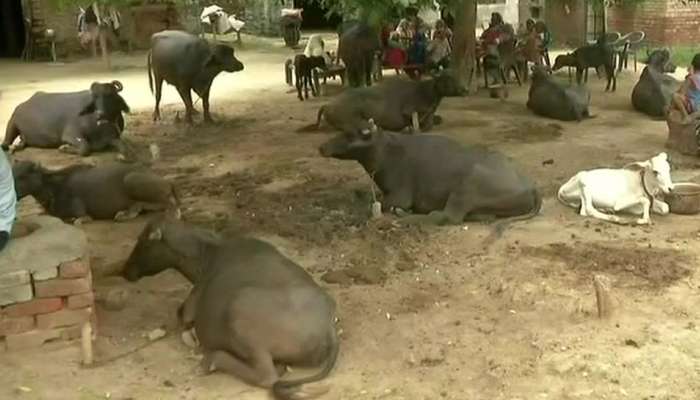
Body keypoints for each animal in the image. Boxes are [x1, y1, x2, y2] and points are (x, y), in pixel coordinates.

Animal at [2, 80, 131, 157]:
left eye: (110, 95)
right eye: (95, 98)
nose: (100, 114)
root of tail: (23, 104)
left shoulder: (111, 138)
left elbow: (124, 147)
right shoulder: (71, 135)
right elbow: (85, 148)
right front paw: (64, 148)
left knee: (22, 141)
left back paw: (16, 146)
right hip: (12, 123)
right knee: (4, 144)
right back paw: (11, 147)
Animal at [12, 160, 179, 223]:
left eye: (22, 175)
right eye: (13, 172)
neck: (54, 188)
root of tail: (167, 181)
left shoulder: (82, 214)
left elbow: (77, 220)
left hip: (131, 180)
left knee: (169, 203)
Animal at [123, 217, 340, 400]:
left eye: (143, 242)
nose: (125, 271)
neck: (208, 253)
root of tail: (328, 326)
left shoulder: (191, 305)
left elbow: (181, 315)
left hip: (239, 313)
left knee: (267, 376)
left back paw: (210, 361)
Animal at [302, 72, 464, 134]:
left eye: (453, 78)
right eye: (446, 80)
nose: (464, 89)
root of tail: (328, 105)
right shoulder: (409, 111)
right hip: (353, 120)